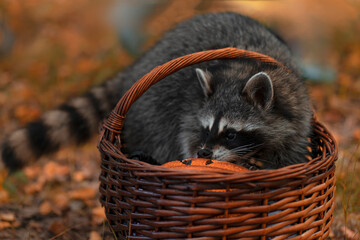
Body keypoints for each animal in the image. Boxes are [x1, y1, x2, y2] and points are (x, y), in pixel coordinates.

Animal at [0, 12, 312, 171]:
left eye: (231, 134)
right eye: (206, 129)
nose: (203, 153)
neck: (242, 71)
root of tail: (134, 70)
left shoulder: (297, 112)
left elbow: (291, 152)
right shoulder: (190, 106)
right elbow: (184, 131)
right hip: (151, 105)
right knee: (159, 130)